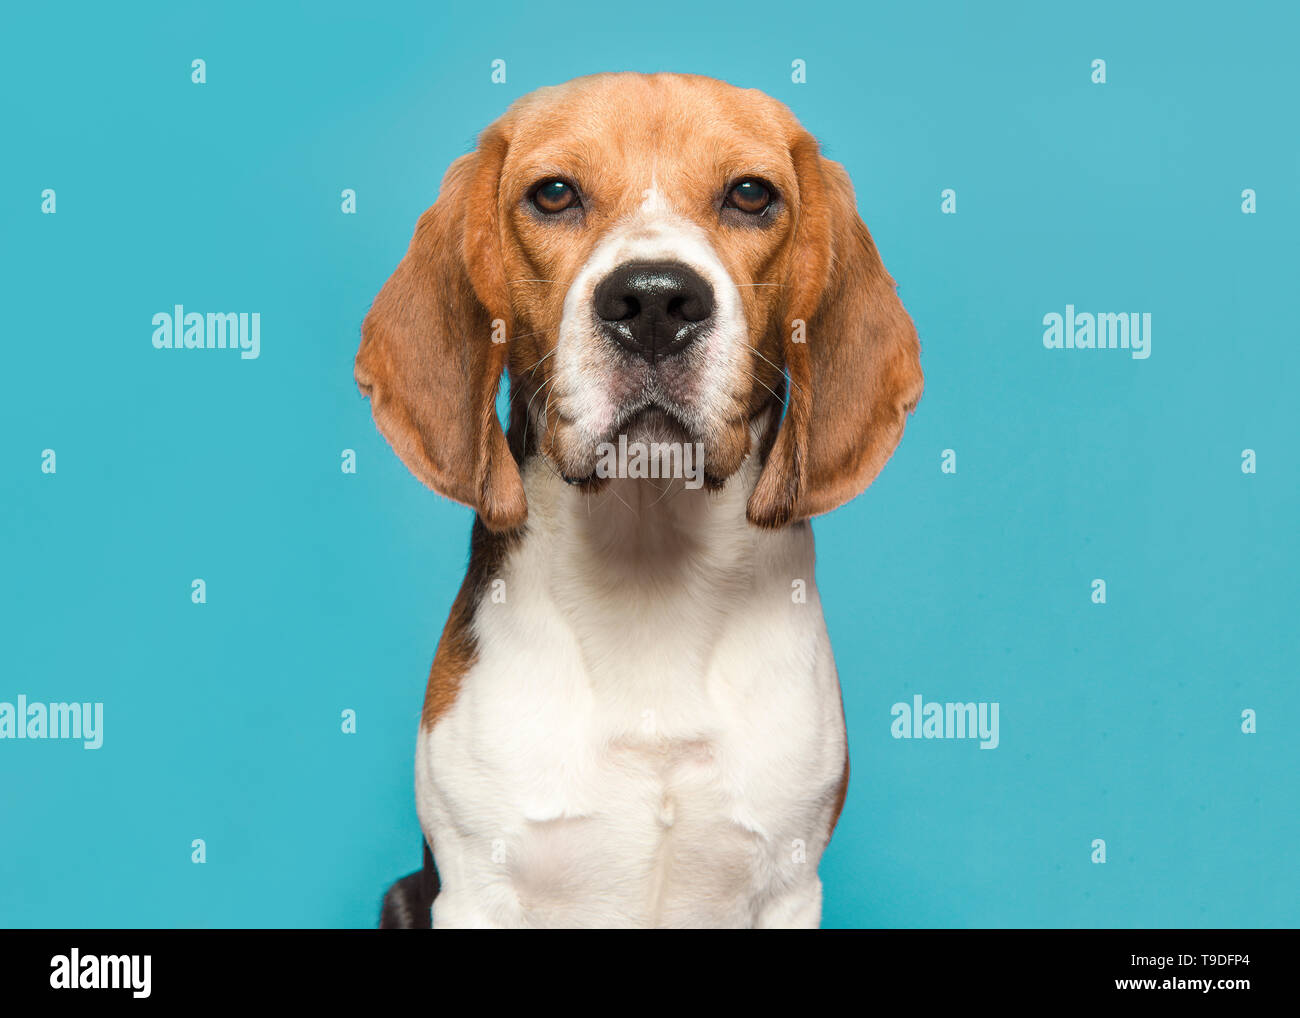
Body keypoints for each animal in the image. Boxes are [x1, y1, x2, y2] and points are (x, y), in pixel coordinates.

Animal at [358, 73, 925, 930]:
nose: (655, 301)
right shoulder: (475, 887)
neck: (649, 565)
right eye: (554, 193)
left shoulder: (790, 887)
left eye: (751, 194)